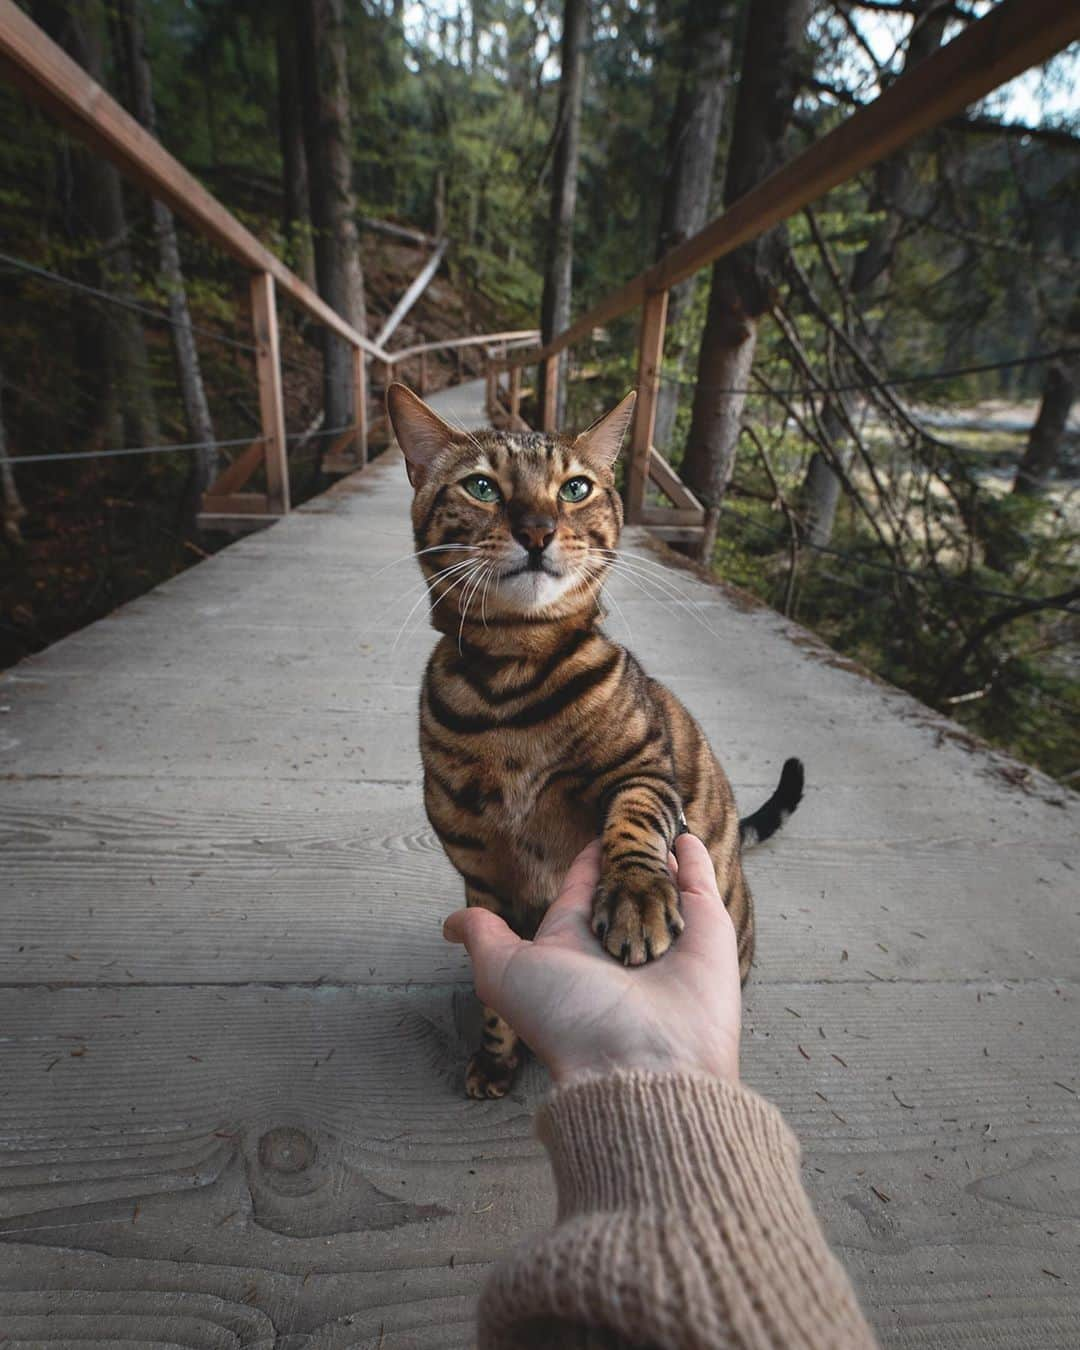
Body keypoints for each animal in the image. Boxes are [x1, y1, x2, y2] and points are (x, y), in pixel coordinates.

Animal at [388, 380, 799, 1096]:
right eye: (482, 487)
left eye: (575, 488)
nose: (537, 529)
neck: (510, 684)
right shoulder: (483, 873)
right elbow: (496, 995)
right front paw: (498, 1057)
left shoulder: (647, 768)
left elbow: (635, 820)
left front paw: (636, 896)